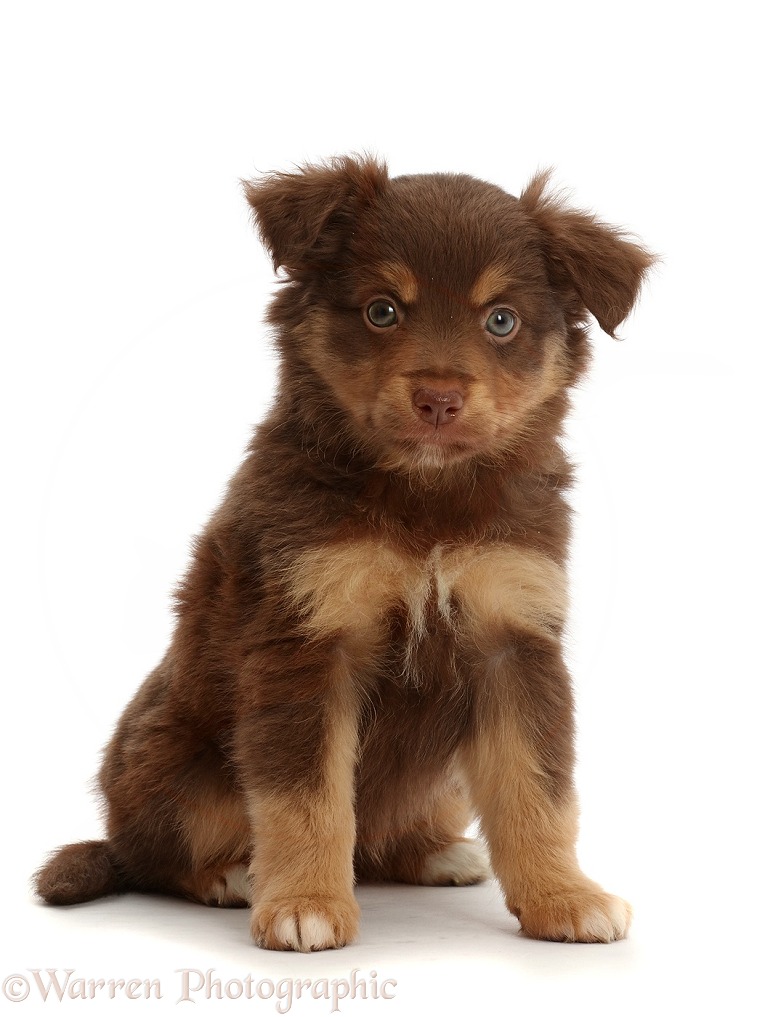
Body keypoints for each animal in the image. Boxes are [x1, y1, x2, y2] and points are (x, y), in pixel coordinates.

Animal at [34, 154, 650, 947]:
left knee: (386, 835)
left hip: (442, 779)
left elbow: (537, 786)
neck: (424, 501)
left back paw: (434, 851)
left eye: (501, 320)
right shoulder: (305, 642)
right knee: (156, 854)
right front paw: (305, 903)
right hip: (179, 769)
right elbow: (307, 799)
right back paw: (232, 876)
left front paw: (564, 895)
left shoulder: (512, 638)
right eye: (382, 310)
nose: (439, 399)